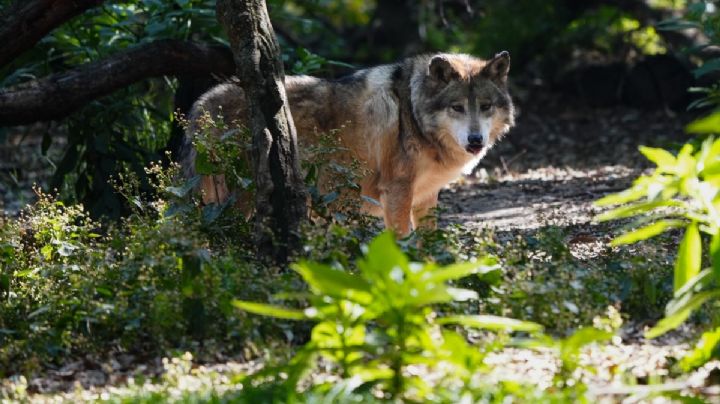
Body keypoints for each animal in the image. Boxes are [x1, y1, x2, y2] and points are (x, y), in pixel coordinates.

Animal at [179, 51, 515, 236]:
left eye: (485, 106)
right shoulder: (396, 191)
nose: (475, 140)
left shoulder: (426, 197)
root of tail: (200, 107)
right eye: (457, 107)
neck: (414, 114)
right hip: (236, 202)